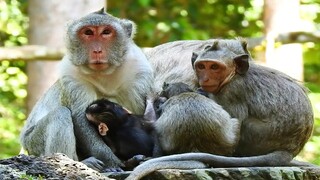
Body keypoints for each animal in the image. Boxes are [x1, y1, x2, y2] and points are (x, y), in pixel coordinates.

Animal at [19, 8, 154, 171]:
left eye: (106, 32)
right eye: (88, 32)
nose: (97, 50)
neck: (104, 74)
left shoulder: (139, 69)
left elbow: (143, 116)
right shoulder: (70, 74)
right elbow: (79, 118)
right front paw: (113, 163)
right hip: (33, 142)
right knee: (60, 114)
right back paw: (75, 162)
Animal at [126, 38, 314, 179]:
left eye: (215, 67)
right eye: (202, 66)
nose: (205, 79)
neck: (233, 76)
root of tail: (290, 149)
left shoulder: (233, 91)